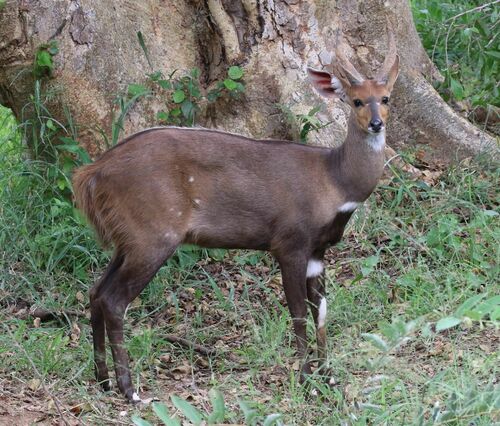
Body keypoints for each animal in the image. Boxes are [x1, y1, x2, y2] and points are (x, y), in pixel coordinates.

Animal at [72, 35, 398, 402]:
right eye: (357, 101)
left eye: (385, 97)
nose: (376, 123)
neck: (334, 181)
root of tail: (92, 173)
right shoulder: (290, 244)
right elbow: (298, 313)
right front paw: (305, 383)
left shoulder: (318, 251)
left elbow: (322, 311)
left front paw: (327, 378)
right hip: (152, 239)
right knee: (114, 300)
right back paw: (131, 391)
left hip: (126, 242)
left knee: (95, 292)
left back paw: (103, 380)